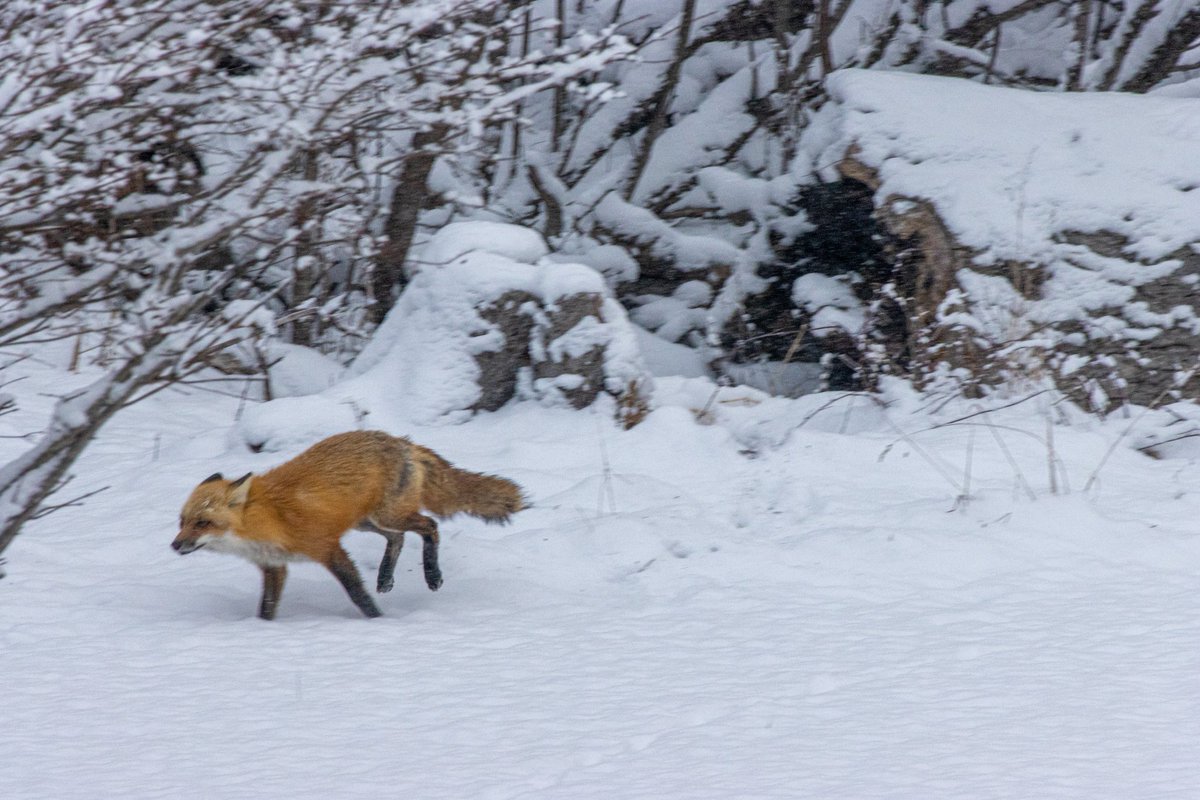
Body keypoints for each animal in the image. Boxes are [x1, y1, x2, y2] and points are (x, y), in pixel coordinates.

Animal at [172, 430, 525, 620]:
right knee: (398, 539)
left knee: (430, 526)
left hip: (386, 515)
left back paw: (432, 575)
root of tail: (402, 441)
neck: (266, 518)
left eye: (203, 522)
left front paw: (378, 620)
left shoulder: (328, 547)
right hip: (367, 522)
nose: (175, 545)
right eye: (182, 521)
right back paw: (385, 578)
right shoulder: (275, 566)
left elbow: (357, 593)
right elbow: (267, 607)